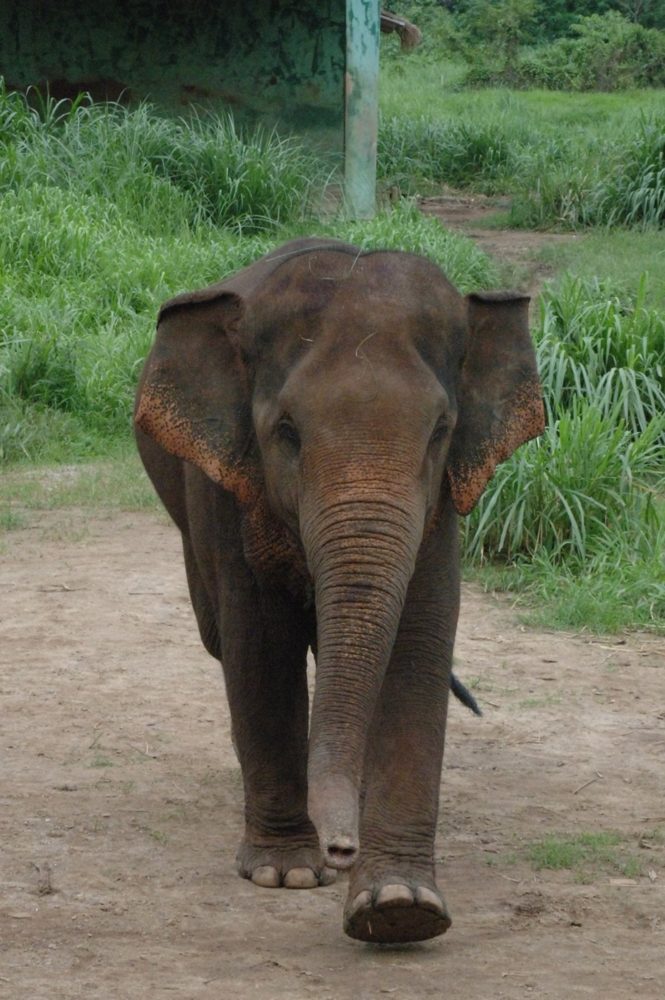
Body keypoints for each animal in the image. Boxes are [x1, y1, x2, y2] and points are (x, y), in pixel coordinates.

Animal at [135, 237, 544, 944]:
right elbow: (259, 642)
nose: (341, 851)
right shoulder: (225, 489)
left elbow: (418, 637)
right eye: (287, 431)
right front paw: (289, 874)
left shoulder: (441, 503)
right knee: (222, 639)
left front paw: (401, 905)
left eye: (440, 431)